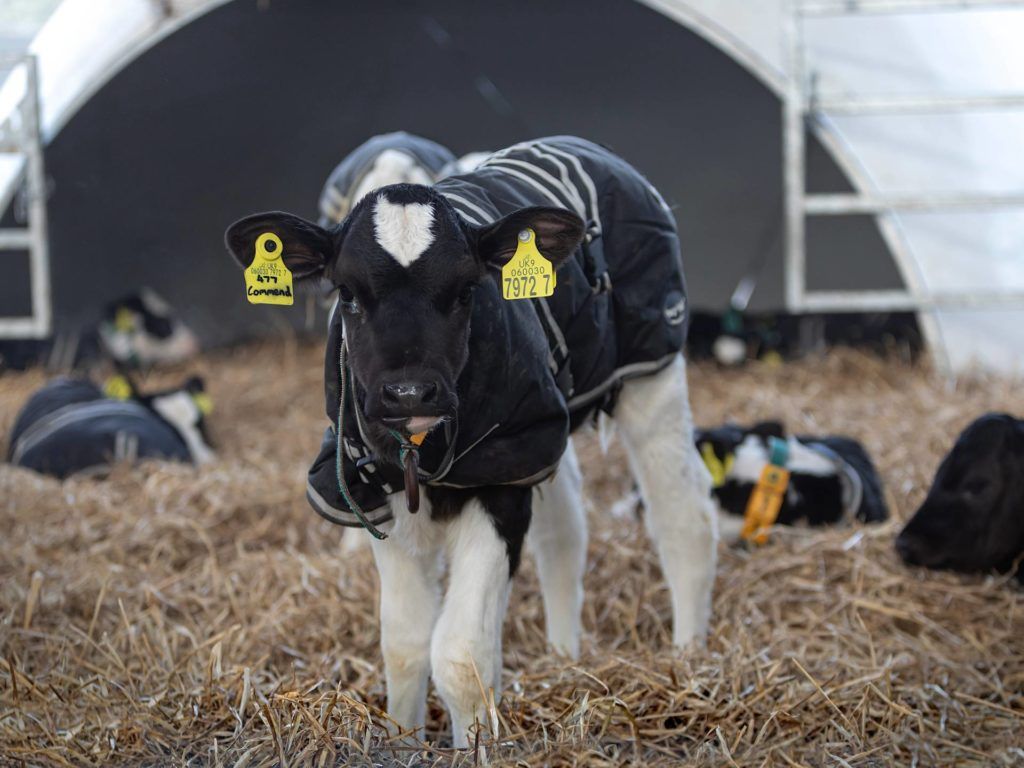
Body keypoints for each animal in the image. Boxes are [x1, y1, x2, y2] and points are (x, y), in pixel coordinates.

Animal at [224, 136, 716, 748]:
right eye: (348, 295)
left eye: (465, 292)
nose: (409, 391)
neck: (421, 451)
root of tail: (575, 142)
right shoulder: (379, 491)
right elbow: (404, 642)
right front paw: (403, 743)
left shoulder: (498, 486)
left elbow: (460, 654)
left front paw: (475, 745)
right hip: (544, 429)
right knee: (565, 530)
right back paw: (564, 654)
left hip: (651, 365)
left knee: (684, 518)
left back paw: (688, 658)